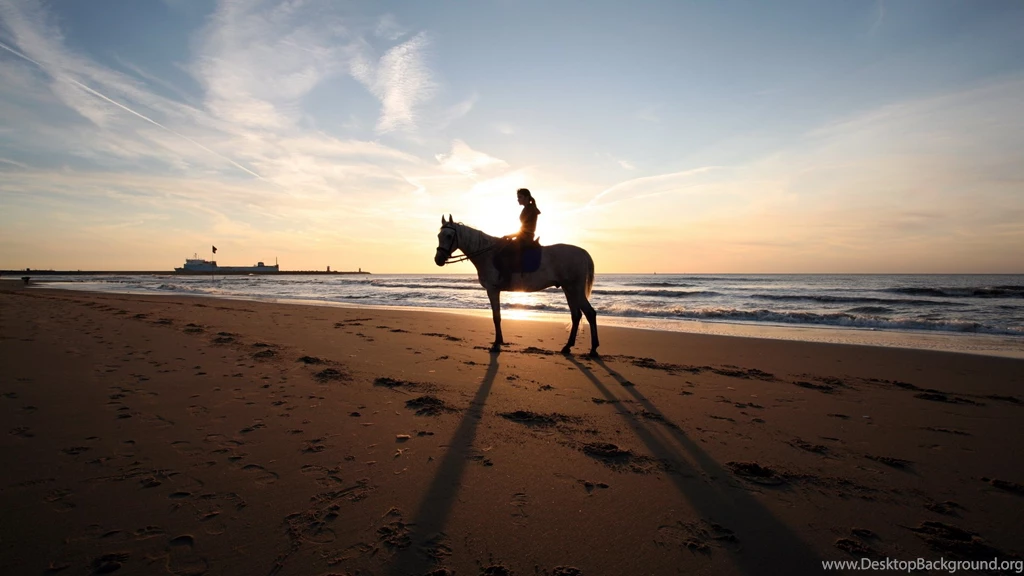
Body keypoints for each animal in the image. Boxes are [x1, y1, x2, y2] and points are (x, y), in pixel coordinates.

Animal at [434, 215, 599, 356]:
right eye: (439, 236)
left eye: (449, 236)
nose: (438, 259)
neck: (487, 254)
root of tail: (582, 252)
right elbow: (497, 316)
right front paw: (499, 341)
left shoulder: (492, 290)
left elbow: (496, 317)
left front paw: (496, 344)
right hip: (568, 289)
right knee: (576, 316)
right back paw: (567, 347)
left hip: (575, 289)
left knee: (590, 313)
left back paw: (593, 349)